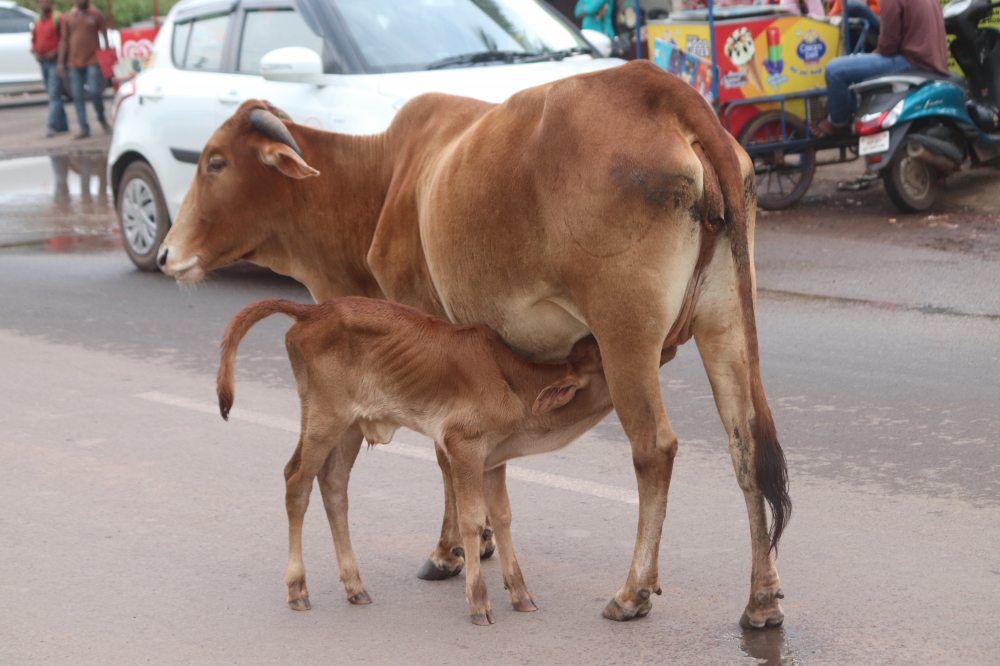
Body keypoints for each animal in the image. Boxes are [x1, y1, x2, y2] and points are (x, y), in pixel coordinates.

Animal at [217, 296, 677, 624]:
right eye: (601, 360)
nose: (663, 350)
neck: (515, 386)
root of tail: (312, 310)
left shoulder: (493, 459)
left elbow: (503, 516)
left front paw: (521, 594)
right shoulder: (463, 447)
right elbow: (472, 520)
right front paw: (479, 603)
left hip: (350, 427)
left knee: (333, 486)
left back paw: (354, 585)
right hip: (323, 420)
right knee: (296, 481)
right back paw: (298, 589)